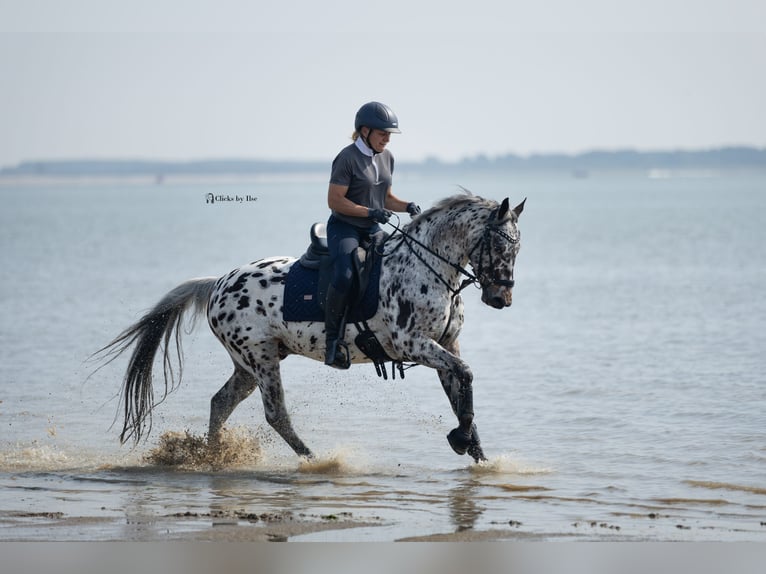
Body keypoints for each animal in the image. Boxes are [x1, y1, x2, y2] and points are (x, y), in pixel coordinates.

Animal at [94, 191, 525, 464]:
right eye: (499, 245)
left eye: (517, 248)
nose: (501, 299)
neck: (426, 268)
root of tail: (216, 283)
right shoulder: (413, 345)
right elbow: (466, 378)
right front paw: (461, 440)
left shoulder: (447, 345)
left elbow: (461, 391)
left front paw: (478, 454)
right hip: (261, 359)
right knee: (276, 414)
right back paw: (316, 460)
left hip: (248, 364)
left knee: (221, 403)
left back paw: (213, 457)